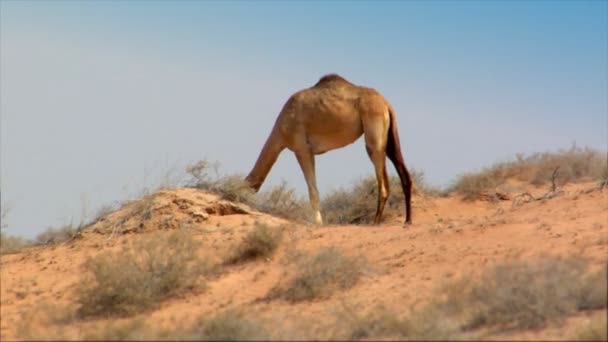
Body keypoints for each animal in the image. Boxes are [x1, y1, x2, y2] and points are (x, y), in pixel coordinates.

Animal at [245, 73, 410, 226]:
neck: (281, 130)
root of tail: (386, 104)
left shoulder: (302, 148)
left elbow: (313, 191)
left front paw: (318, 223)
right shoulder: (310, 151)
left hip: (374, 136)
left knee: (383, 184)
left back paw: (375, 223)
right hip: (389, 138)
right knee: (403, 172)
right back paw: (407, 221)